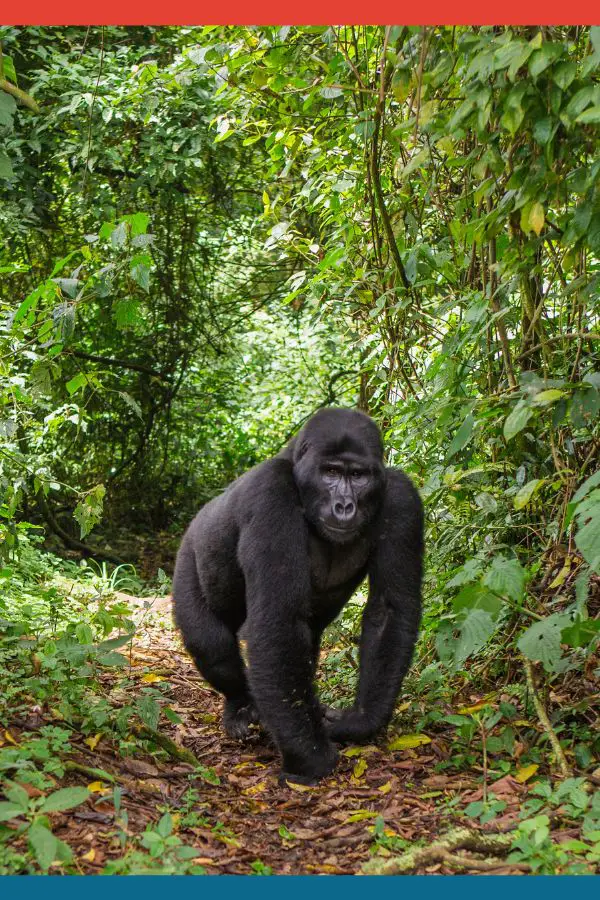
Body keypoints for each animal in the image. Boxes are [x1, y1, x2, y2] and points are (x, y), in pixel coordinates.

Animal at [171, 408, 424, 780]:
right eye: (330, 472)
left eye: (358, 475)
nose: (344, 505)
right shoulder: (270, 492)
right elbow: (278, 619)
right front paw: (311, 757)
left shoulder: (402, 498)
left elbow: (389, 611)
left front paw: (358, 721)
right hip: (188, 554)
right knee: (210, 643)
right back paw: (241, 706)